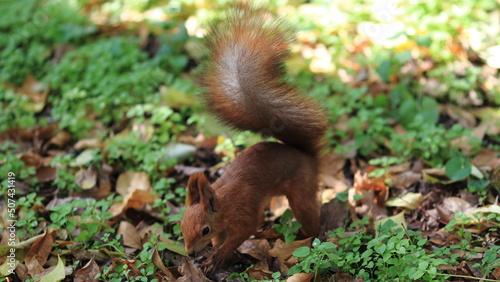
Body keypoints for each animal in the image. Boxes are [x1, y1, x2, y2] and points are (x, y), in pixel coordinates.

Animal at [181, 1, 328, 270]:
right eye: (181, 226)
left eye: (204, 229)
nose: (190, 253)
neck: (223, 205)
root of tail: (308, 157)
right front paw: (214, 252)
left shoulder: (243, 212)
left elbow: (244, 230)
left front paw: (219, 255)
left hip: (300, 191)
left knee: (310, 217)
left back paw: (309, 235)